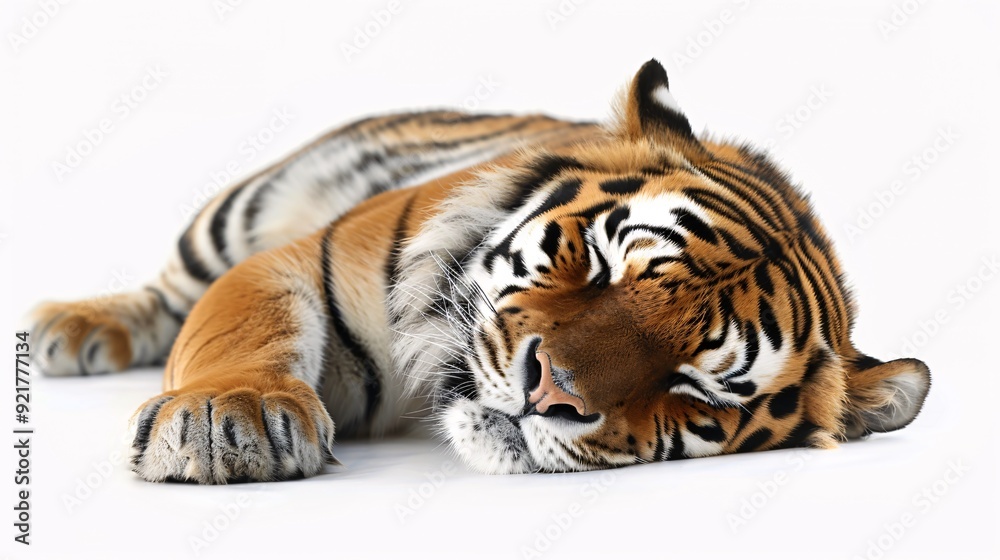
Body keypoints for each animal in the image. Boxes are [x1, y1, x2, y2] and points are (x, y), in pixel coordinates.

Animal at [28, 59, 931, 482]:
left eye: (696, 388)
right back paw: (73, 329)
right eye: (599, 264)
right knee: (169, 292)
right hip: (243, 207)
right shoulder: (294, 257)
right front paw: (227, 419)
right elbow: (240, 327)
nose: (548, 391)